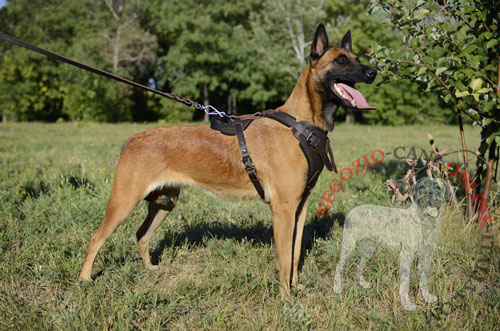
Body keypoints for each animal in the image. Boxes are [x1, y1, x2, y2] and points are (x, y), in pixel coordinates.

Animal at [77, 24, 376, 298]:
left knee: (142, 235)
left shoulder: (299, 207)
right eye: (341, 60)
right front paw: (286, 300)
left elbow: (294, 254)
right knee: (95, 238)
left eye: (357, 57)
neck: (301, 124)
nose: (373, 72)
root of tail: (132, 139)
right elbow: (284, 258)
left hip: (165, 203)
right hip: (123, 203)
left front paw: (296, 287)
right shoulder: (283, 209)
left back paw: (150, 269)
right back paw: (84, 279)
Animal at [334, 179, 452, 312]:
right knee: (339, 266)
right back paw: (337, 288)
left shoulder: (427, 255)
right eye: (422, 187)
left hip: (368, 249)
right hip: (348, 246)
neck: (425, 220)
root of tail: (351, 210)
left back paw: (363, 284)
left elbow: (424, 278)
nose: (427, 193)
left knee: (359, 264)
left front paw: (427, 297)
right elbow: (405, 283)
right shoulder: (406, 255)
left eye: (438, 187)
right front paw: (407, 305)